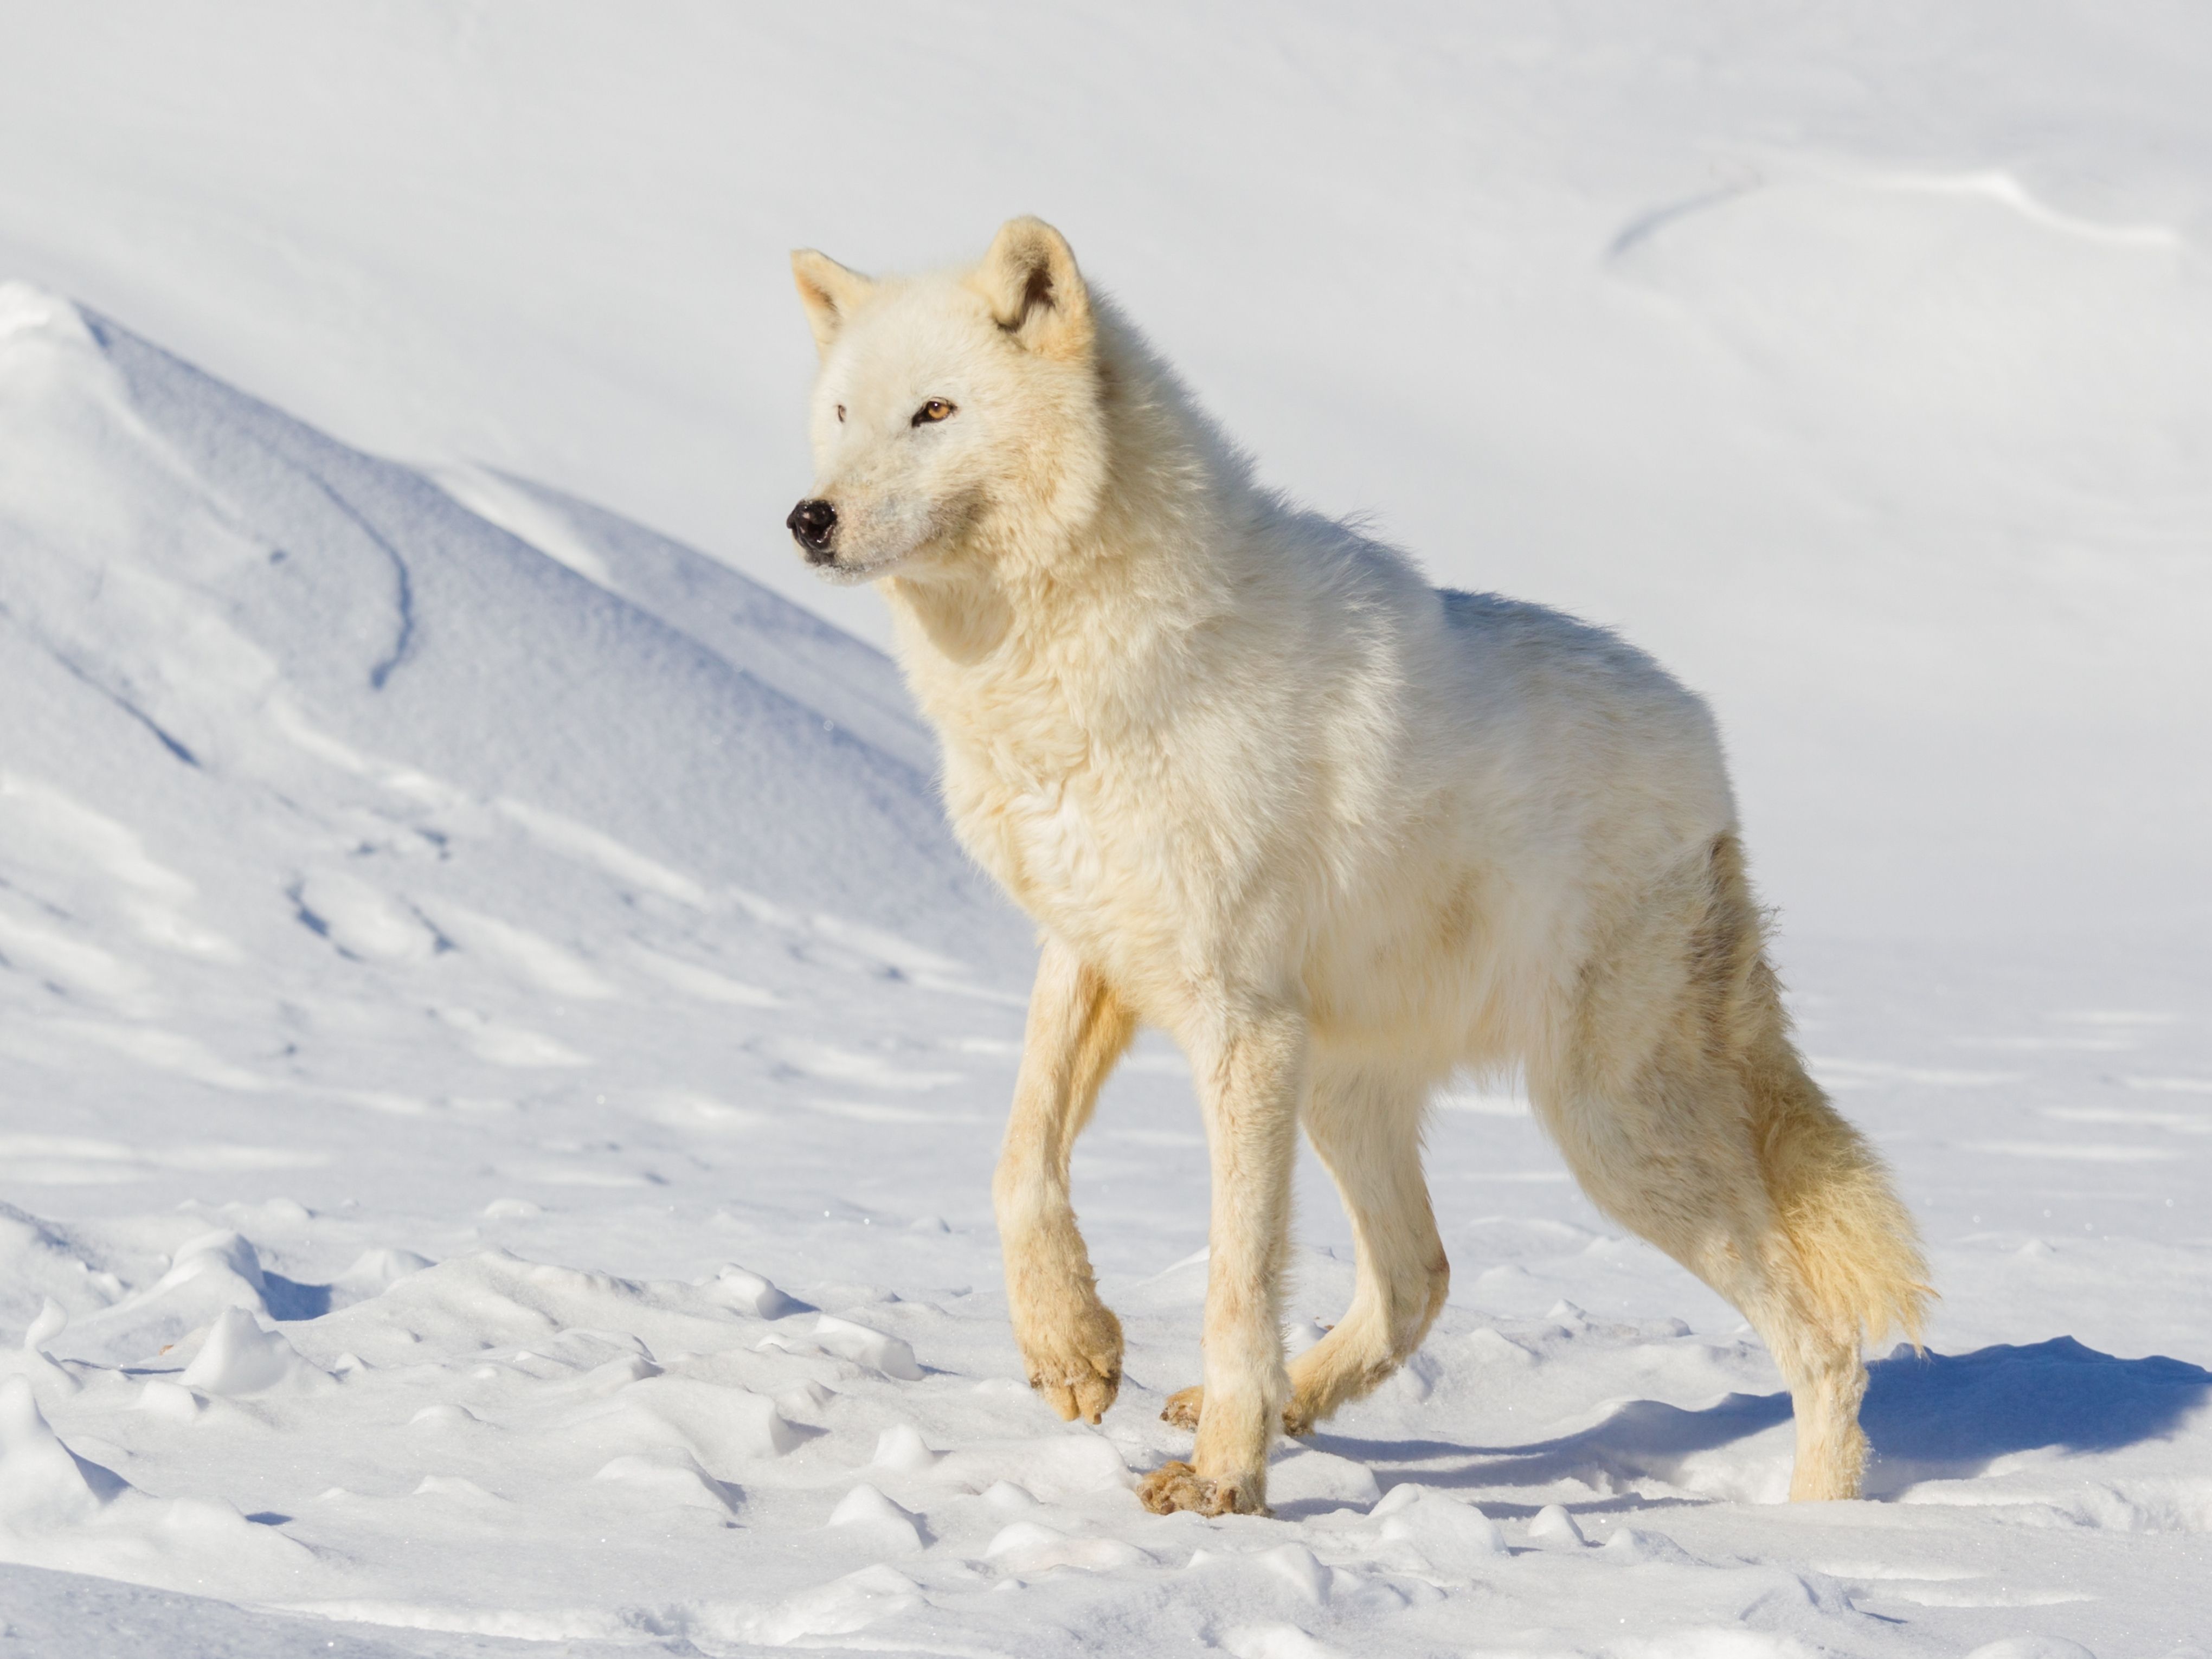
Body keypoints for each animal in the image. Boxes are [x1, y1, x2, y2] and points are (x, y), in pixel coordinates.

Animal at [784, 217, 1930, 1516]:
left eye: (935, 411)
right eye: (840, 413)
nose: (808, 519)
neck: (1078, 676)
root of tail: (1715, 762)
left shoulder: (1241, 1029)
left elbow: (1235, 1277)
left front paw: (1222, 1487)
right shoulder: (1091, 954)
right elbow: (1018, 1164)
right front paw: (1076, 1353)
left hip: (1604, 1135)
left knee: (1821, 1337)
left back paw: (1814, 1524)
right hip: (1349, 1089)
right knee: (1420, 1275)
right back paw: (1285, 1402)